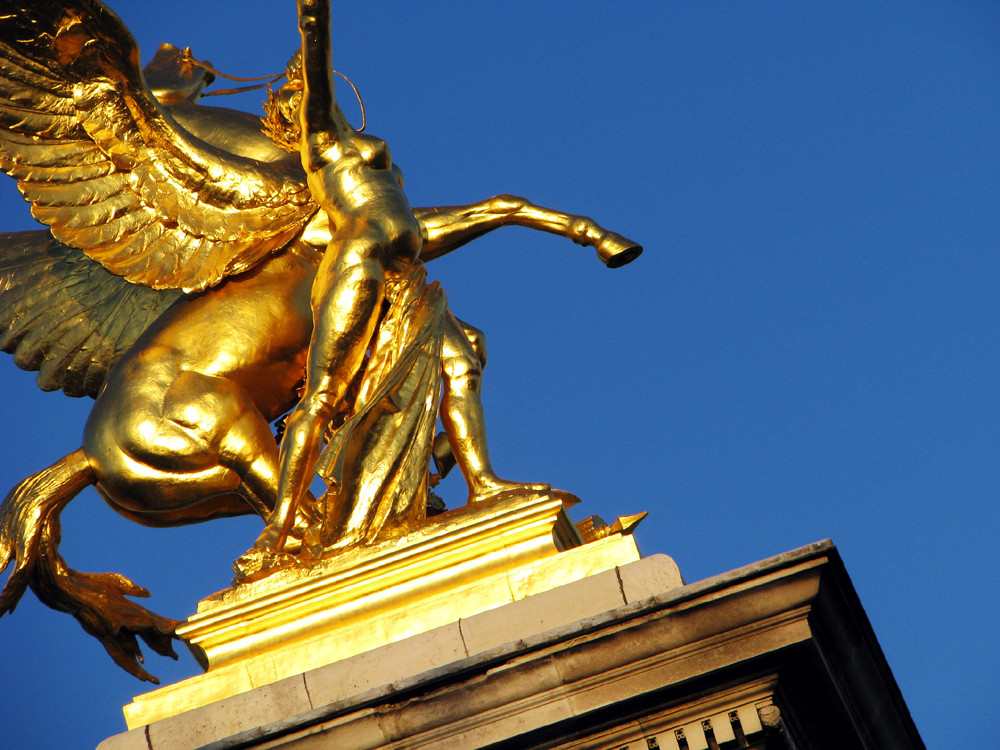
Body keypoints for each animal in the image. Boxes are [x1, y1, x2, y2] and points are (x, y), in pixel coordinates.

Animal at [0, 0, 640, 684]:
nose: (193, 67)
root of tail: (88, 456)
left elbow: (490, 242)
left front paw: (602, 240)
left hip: (201, 486)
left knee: (297, 512)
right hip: (227, 431)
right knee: (296, 472)